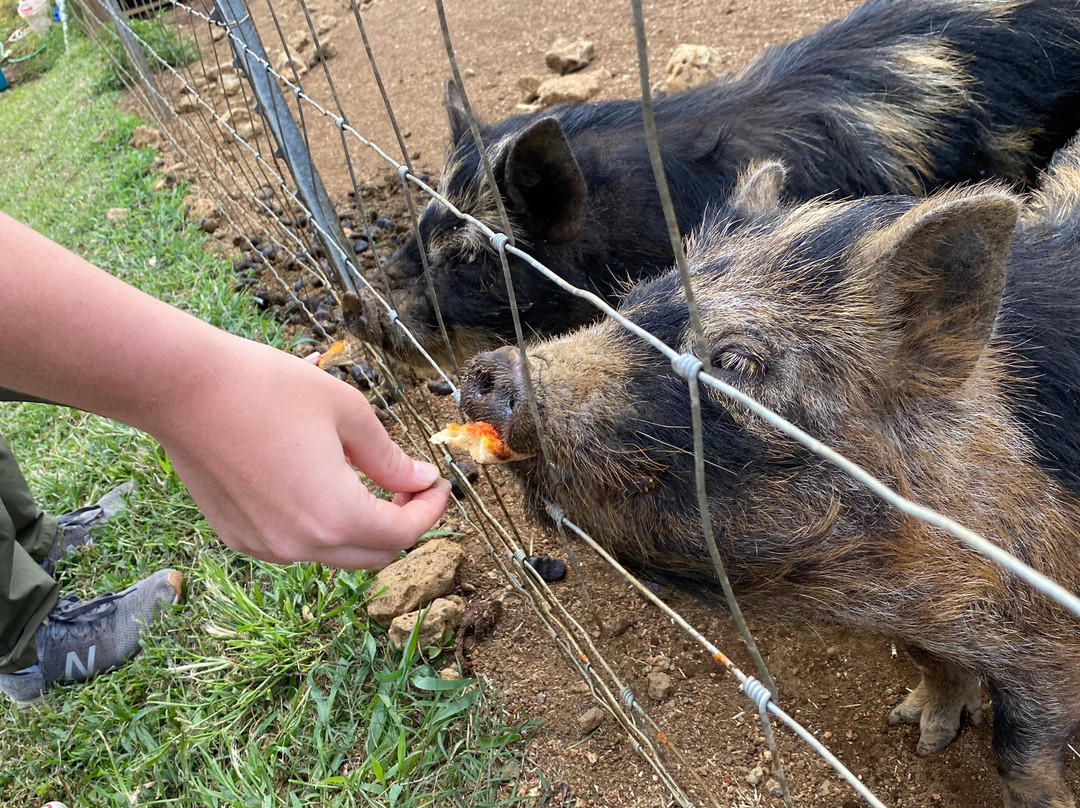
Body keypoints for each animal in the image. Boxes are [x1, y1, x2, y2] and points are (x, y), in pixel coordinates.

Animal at [462, 144, 1080, 808]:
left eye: (733, 362)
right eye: (626, 305)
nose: (486, 371)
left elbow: (1019, 752)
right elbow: (929, 661)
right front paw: (917, 729)